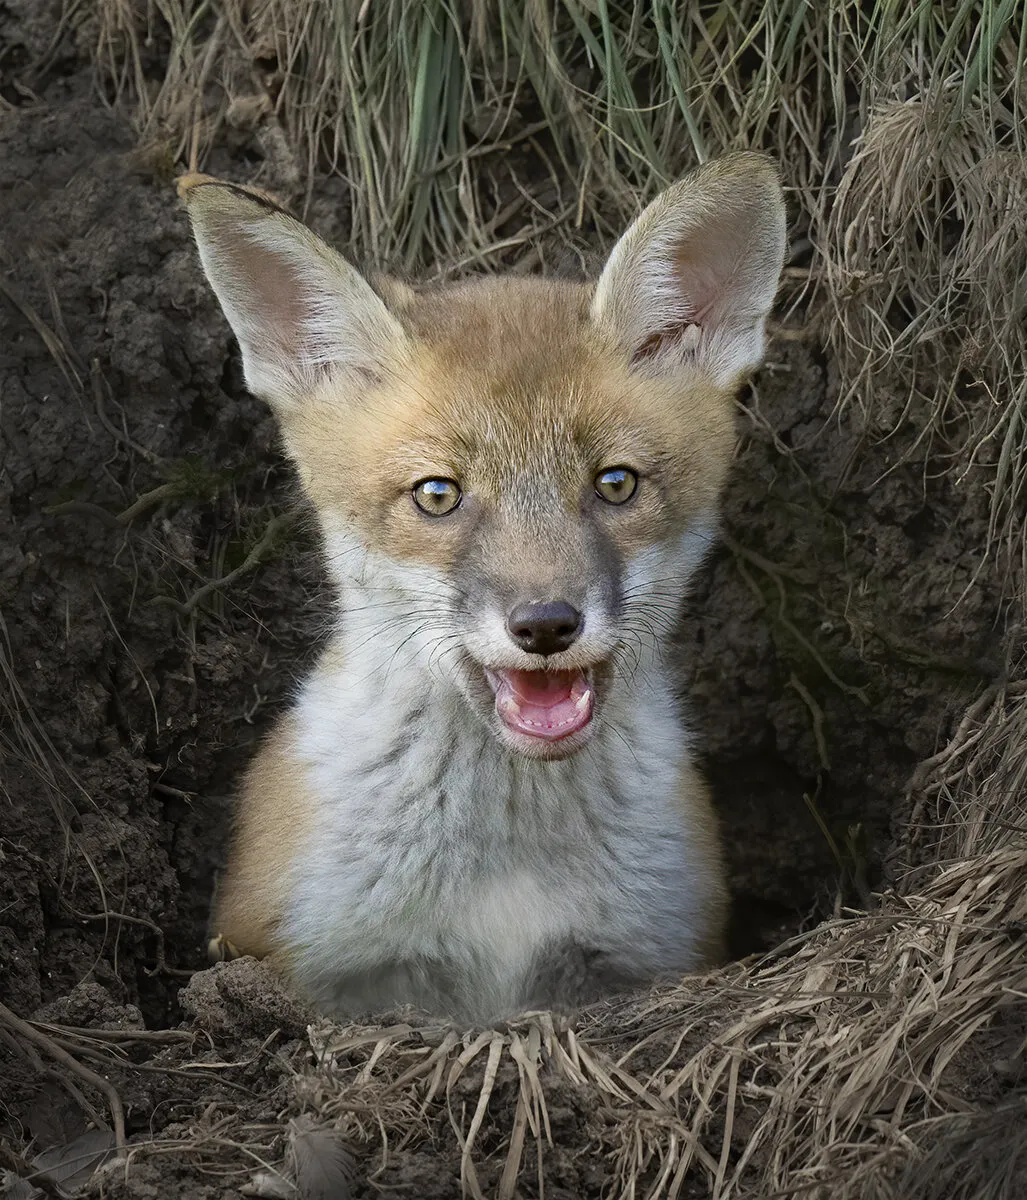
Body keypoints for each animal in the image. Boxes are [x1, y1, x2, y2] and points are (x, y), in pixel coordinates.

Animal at [180, 152, 786, 1026]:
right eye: (438, 495)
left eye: (615, 484)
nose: (545, 625)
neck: (504, 871)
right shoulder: (302, 958)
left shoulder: (650, 953)